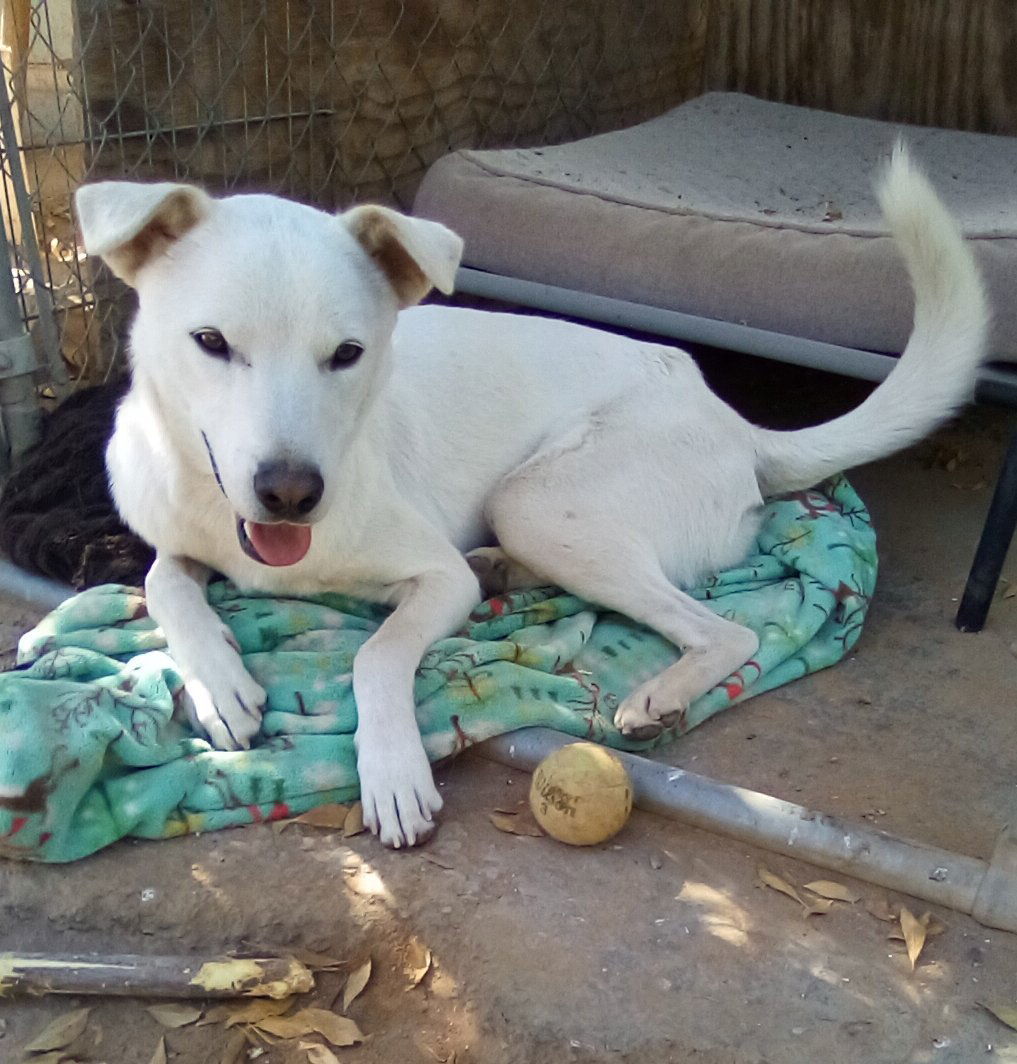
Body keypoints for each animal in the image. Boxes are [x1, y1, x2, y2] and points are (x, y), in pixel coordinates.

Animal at [75, 150, 987, 846]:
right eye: (210, 342)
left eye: (347, 354)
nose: (291, 494)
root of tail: (732, 422)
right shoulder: (177, 536)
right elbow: (162, 579)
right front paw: (219, 683)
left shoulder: (435, 578)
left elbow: (375, 655)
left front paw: (393, 772)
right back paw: (506, 575)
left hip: (537, 500)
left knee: (727, 630)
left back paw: (655, 692)